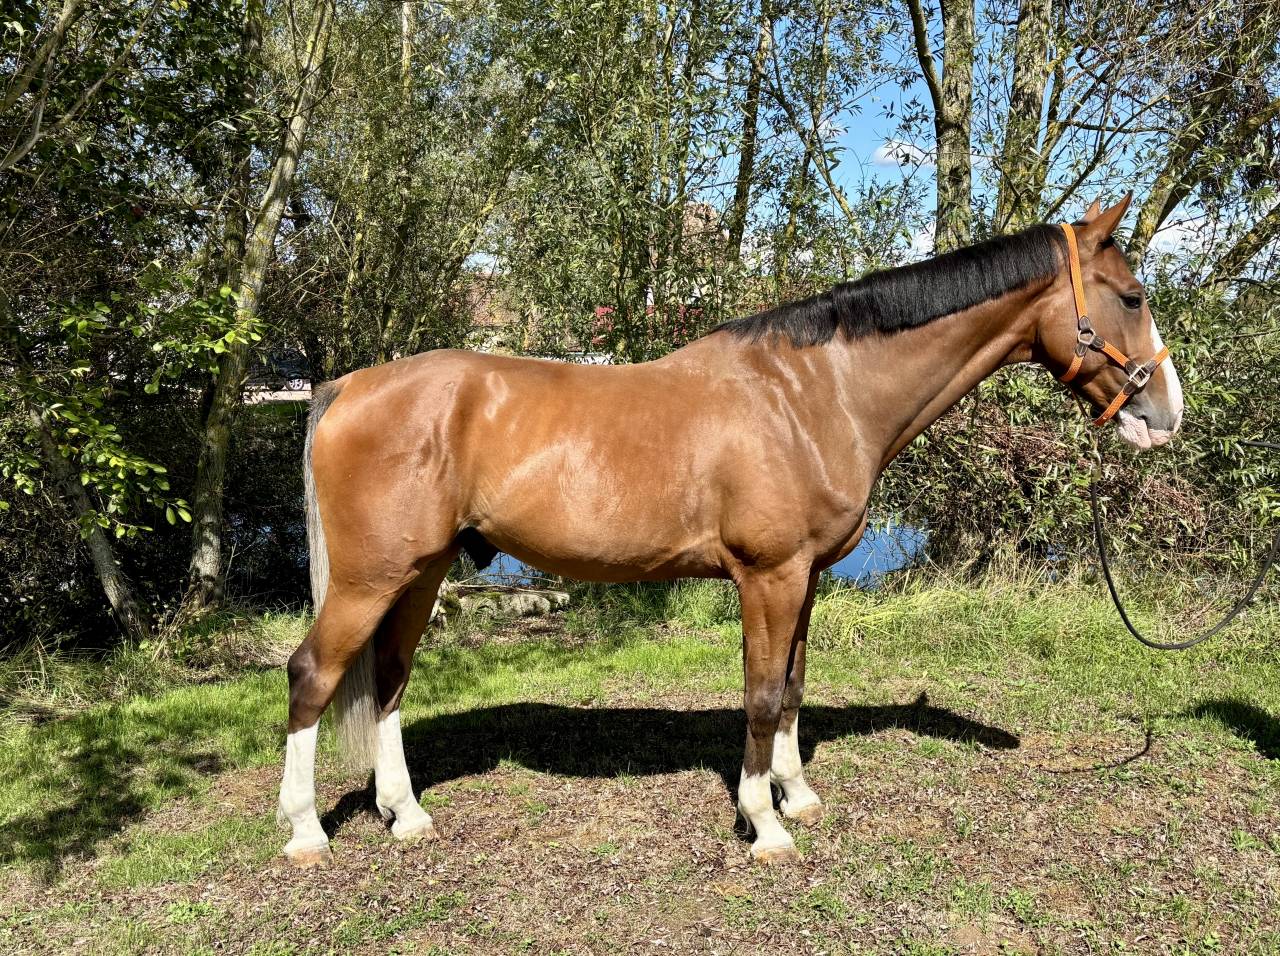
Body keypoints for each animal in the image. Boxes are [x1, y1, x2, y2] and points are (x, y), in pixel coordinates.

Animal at [277, 194, 1184, 867]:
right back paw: (307, 833)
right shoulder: (768, 575)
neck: (814, 392)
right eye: (1131, 298)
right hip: (370, 579)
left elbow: (792, 687)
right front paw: (765, 824)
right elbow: (759, 695)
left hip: (421, 573)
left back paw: (406, 814)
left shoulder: (808, 577)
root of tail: (349, 385)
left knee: (389, 680)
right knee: (313, 675)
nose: (1165, 415)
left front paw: (798, 795)